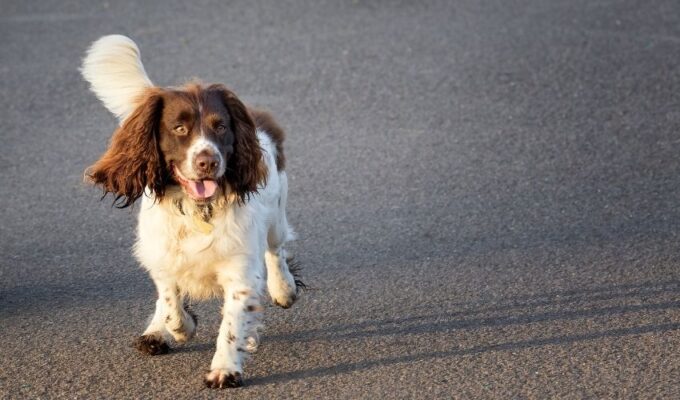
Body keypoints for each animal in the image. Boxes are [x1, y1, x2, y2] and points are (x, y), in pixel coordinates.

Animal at [81, 36, 302, 390]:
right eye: (180, 128)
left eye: (221, 126)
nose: (207, 161)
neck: (199, 211)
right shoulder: (162, 255)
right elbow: (170, 300)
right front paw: (178, 328)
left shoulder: (239, 269)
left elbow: (233, 321)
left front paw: (224, 369)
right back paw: (156, 332)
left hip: (277, 213)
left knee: (276, 250)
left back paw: (283, 290)